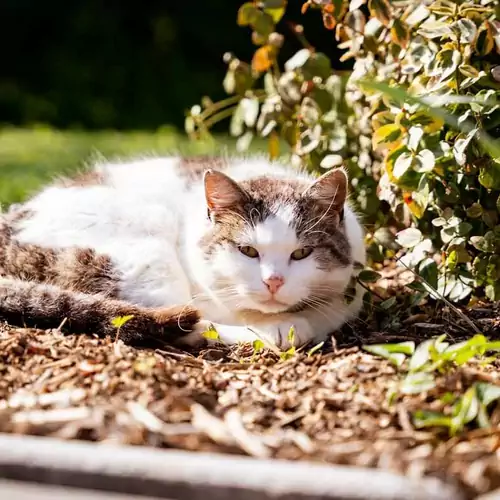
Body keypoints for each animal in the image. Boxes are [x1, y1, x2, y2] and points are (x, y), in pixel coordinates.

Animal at [0, 155, 368, 348]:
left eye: (302, 253)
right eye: (247, 251)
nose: (273, 282)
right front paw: (279, 326)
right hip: (145, 242)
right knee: (182, 324)